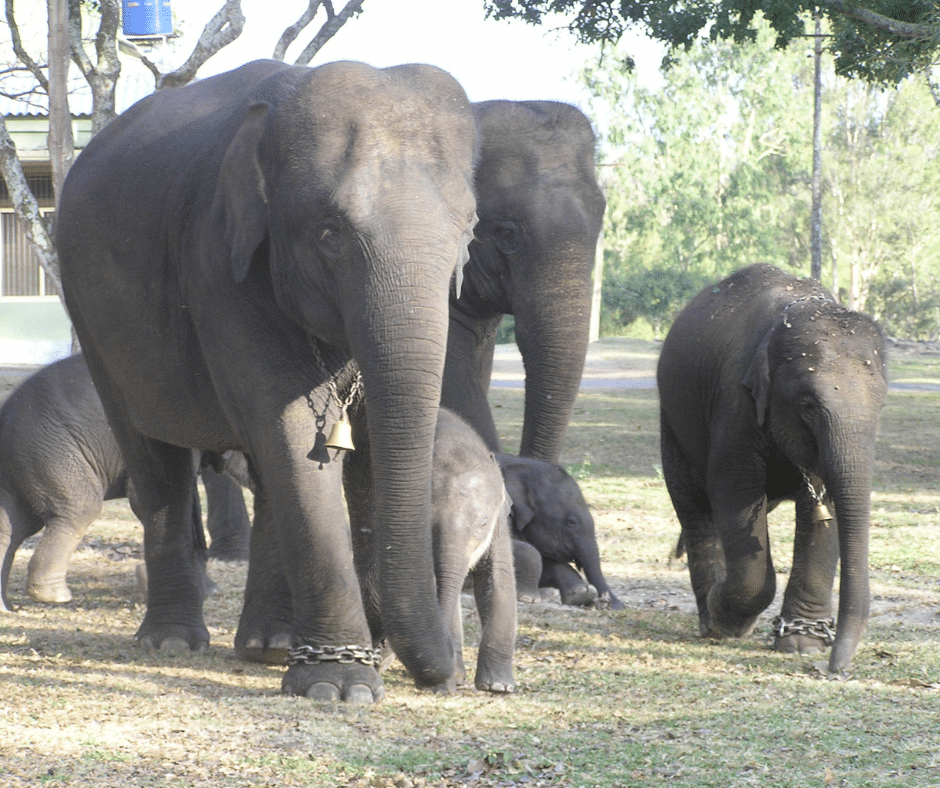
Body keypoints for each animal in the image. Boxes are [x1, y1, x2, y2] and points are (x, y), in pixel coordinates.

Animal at [0, 354, 250, 612]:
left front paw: (205, 589)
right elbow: (151, 498)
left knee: (14, 526)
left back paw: (6, 607)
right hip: (54, 454)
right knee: (79, 510)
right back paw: (55, 596)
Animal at [54, 60, 478, 700]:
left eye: (470, 227)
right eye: (329, 233)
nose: (452, 671)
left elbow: (355, 437)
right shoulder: (217, 263)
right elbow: (292, 427)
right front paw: (340, 687)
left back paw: (269, 644)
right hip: (90, 316)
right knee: (154, 459)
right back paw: (172, 642)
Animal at [348, 410, 516, 692]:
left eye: (482, 525)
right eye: (427, 523)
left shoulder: (500, 524)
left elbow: (499, 579)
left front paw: (498, 686)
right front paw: (452, 679)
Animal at [656, 264, 884, 672]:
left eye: (882, 404)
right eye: (808, 406)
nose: (833, 669)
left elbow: (824, 507)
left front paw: (802, 645)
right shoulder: (735, 402)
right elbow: (735, 491)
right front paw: (726, 619)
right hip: (673, 420)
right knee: (693, 506)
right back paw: (709, 618)